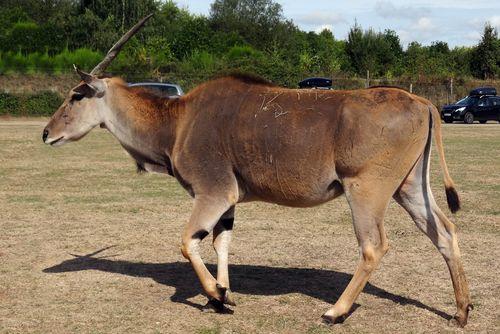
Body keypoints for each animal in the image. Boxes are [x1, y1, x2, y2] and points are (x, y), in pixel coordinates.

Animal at [43, 15, 472, 326]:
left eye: (76, 96)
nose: (46, 133)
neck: (178, 119)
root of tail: (422, 102)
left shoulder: (214, 192)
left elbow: (187, 242)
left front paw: (216, 295)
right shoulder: (228, 200)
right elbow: (220, 242)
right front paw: (223, 295)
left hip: (366, 190)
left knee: (374, 246)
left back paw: (335, 311)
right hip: (409, 188)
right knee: (445, 232)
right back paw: (461, 310)